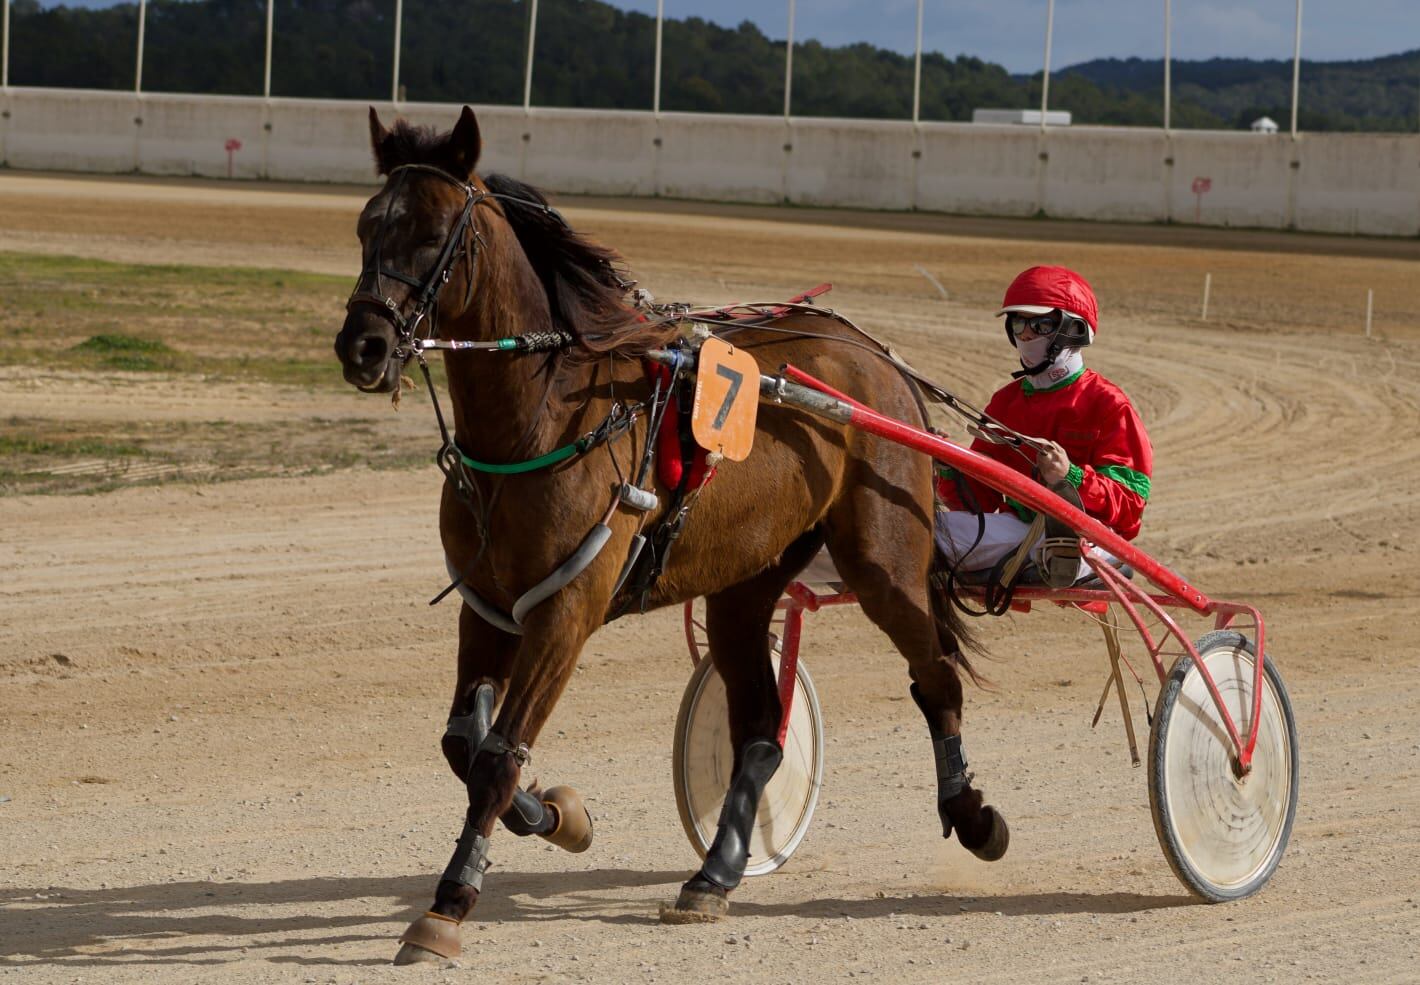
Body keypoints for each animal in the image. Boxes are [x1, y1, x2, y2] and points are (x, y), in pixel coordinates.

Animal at [335, 106, 1011, 965]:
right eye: (366, 226)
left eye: (428, 235)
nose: (362, 346)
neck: (544, 418)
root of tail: (872, 355)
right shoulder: (486, 606)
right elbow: (466, 745)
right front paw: (558, 812)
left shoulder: (567, 611)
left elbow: (495, 756)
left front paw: (448, 903)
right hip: (745, 582)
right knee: (761, 729)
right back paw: (714, 872)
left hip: (883, 558)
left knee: (937, 676)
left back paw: (976, 818)